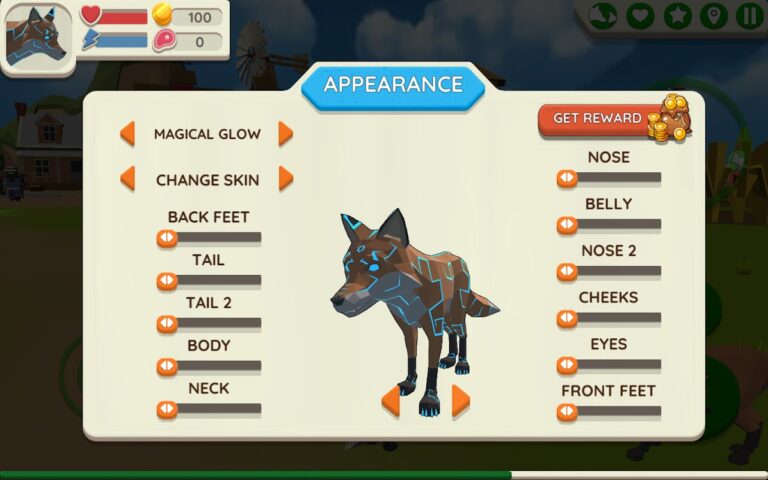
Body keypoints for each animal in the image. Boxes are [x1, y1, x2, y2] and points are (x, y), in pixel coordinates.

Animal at [330, 209, 500, 417]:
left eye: (373, 266)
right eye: (346, 266)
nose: (336, 301)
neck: (406, 300)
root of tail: (457, 257)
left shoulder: (433, 330)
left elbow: (431, 369)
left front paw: (430, 400)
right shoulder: (408, 329)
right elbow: (411, 360)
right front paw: (410, 384)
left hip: (456, 315)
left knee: (463, 333)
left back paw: (462, 363)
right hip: (446, 320)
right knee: (452, 334)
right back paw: (450, 358)